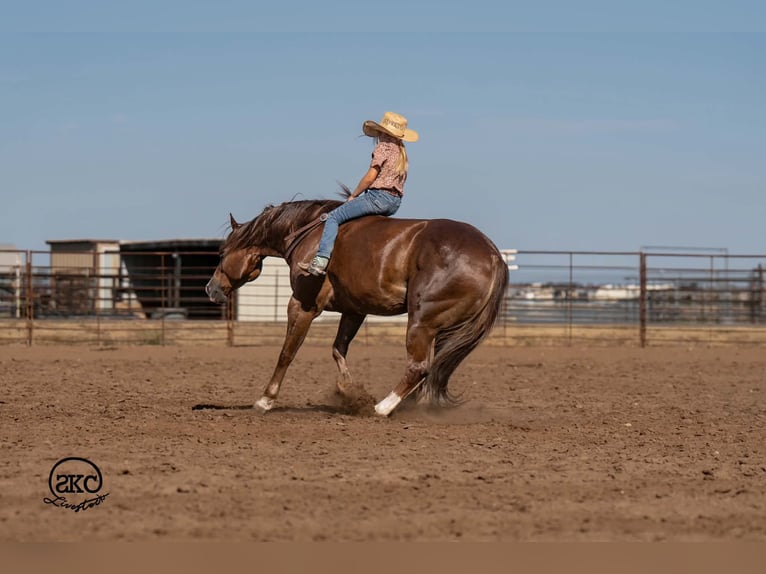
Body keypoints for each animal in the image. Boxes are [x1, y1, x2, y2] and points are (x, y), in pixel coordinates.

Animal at [205, 193, 509, 416]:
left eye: (221, 252)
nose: (211, 288)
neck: (310, 231)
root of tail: (493, 256)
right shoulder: (354, 310)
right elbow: (338, 349)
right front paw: (348, 390)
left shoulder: (302, 305)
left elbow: (287, 353)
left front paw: (265, 400)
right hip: (442, 328)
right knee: (431, 369)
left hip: (422, 322)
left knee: (419, 367)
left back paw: (382, 408)